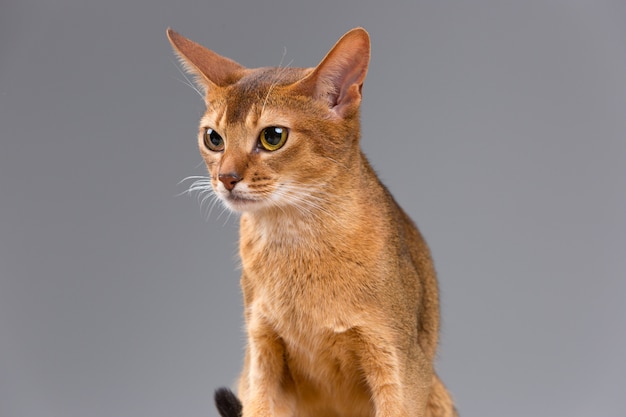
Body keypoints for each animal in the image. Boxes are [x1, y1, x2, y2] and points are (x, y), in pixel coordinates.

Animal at [168, 26, 456, 416]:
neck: (295, 239)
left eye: (273, 137)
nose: (226, 178)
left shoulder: (398, 365)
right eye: (213, 138)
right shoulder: (261, 354)